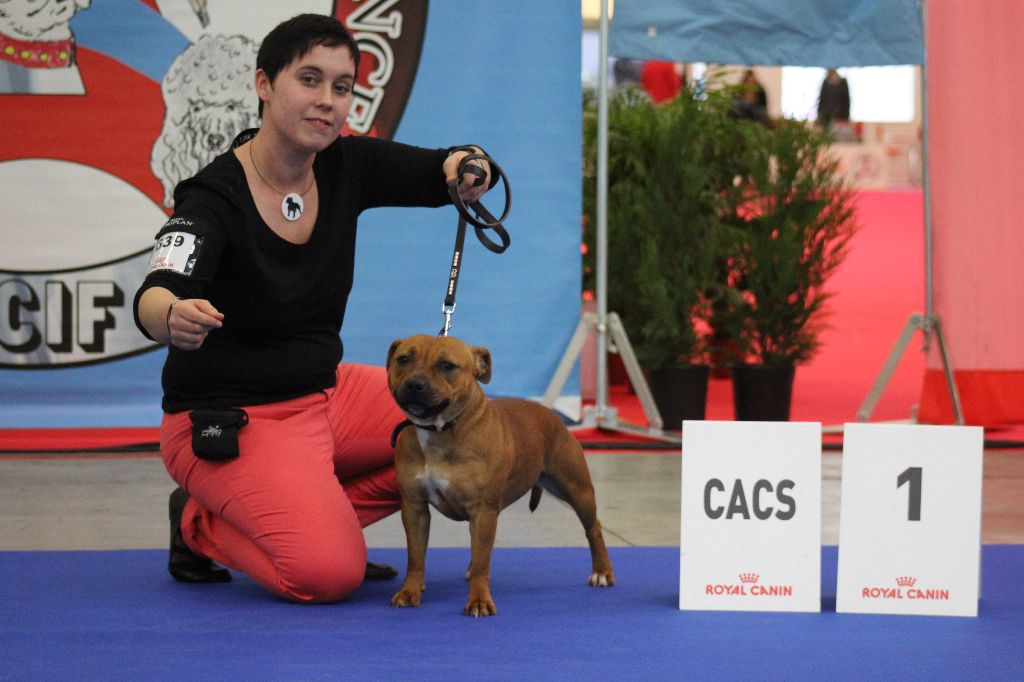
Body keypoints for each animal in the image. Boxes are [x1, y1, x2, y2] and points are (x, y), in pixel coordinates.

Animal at [385, 331, 614, 614]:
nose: (415, 384)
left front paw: (479, 600)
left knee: (593, 527)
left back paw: (602, 571)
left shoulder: (483, 510)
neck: (440, 430)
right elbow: (416, 557)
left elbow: (482, 561)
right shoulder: (414, 507)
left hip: (576, 489)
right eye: (403, 359)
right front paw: (410, 591)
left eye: (447, 365)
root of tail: (552, 415)